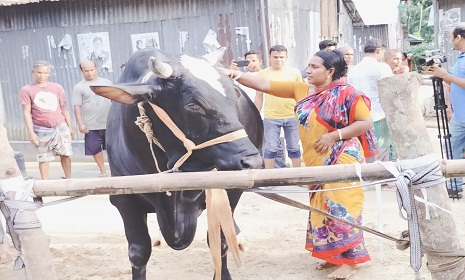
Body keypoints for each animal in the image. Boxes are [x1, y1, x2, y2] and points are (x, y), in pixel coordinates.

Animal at [90, 47, 262, 278]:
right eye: (193, 105)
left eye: (233, 96)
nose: (252, 160)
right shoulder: (124, 200)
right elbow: (138, 252)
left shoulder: (230, 190)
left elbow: (220, 242)